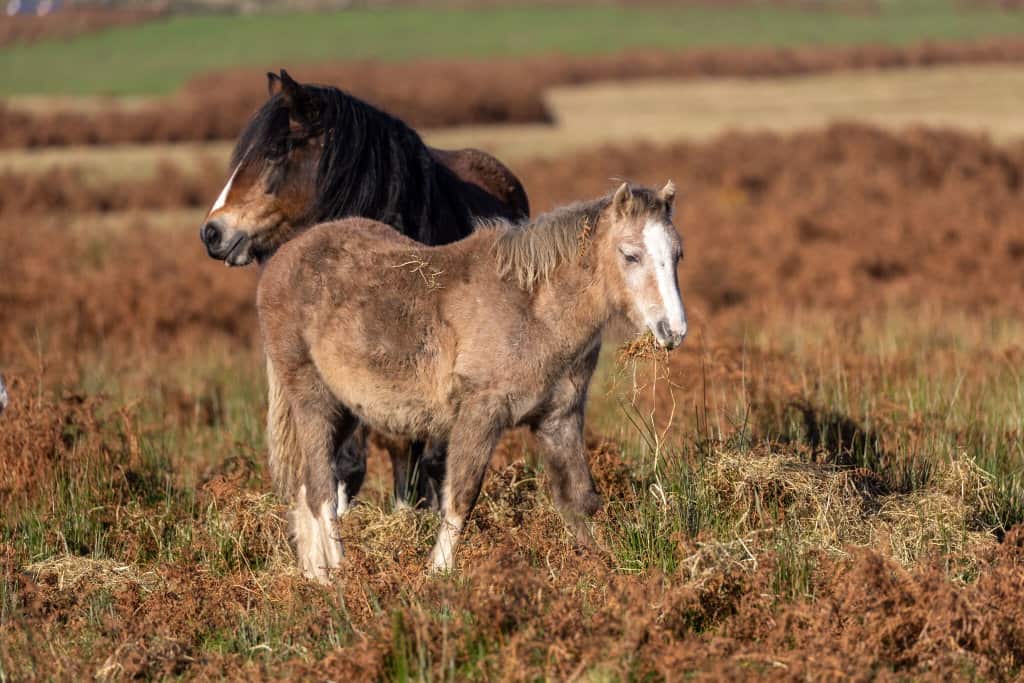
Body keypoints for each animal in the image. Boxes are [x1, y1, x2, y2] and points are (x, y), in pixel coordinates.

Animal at [257, 181, 687, 580]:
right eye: (630, 254)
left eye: (676, 254)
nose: (674, 330)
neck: (534, 311)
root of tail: (282, 260)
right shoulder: (480, 415)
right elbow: (461, 497)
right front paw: (440, 575)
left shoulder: (559, 420)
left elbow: (580, 500)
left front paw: (602, 570)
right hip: (312, 399)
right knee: (321, 490)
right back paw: (337, 575)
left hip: (345, 410)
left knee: (306, 486)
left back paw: (313, 575)